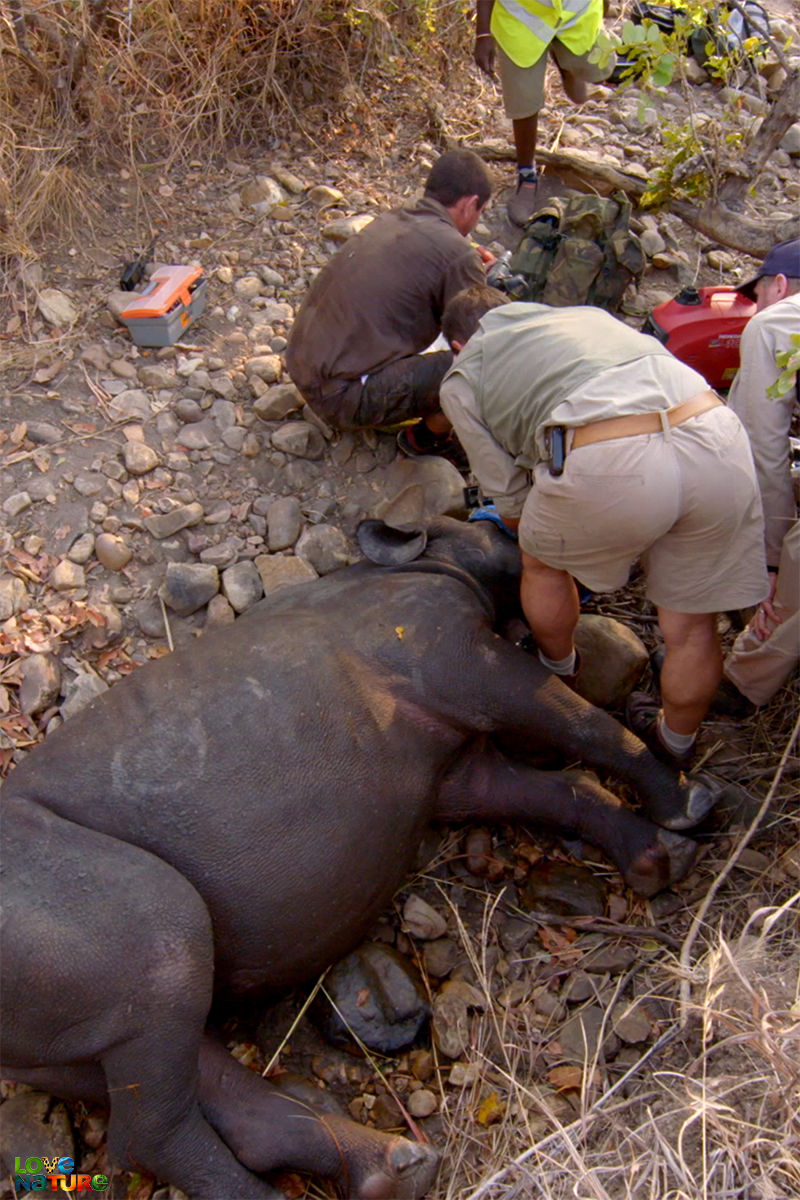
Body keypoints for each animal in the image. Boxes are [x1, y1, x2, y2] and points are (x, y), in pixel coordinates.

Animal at [0, 516, 714, 1200]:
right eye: (503, 529)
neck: (430, 558)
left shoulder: (456, 770)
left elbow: (554, 788)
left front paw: (661, 859)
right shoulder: (460, 660)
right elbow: (581, 721)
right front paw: (690, 806)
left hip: (39, 1023)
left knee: (146, 1050)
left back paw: (395, 1169)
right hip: (61, 893)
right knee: (164, 964)